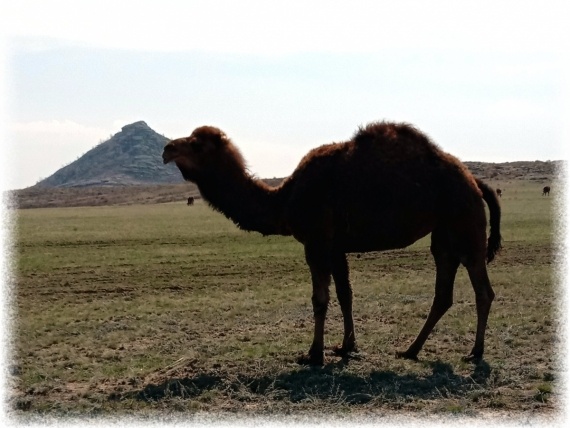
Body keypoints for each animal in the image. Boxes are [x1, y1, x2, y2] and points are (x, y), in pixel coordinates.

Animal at [162, 120, 500, 364]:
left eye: (195, 144)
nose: (166, 149)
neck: (284, 200)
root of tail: (474, 181)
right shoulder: (336, 247)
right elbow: (345, 294)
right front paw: (345, 347)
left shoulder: (316, 243)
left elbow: (320, 299)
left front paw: (313, 354)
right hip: (444, 234)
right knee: (444, 293)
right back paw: (410, 350)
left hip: (465, 225)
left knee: (483, 290)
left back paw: (475, 352)